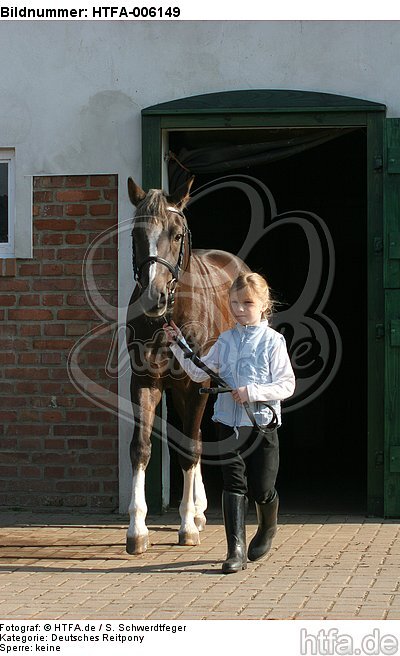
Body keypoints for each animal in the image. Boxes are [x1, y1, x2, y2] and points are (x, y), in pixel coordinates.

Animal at [125, 176, 248, 554]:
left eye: (177, 235)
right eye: (136, 233)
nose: (154, 296)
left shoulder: (195, 385)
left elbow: (189, 450)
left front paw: (186, 526)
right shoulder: (145, 382)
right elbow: (141, 448)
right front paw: (137, 530)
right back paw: (199, 509)